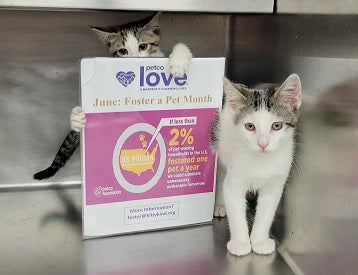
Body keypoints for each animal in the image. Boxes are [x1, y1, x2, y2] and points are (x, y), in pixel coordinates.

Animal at [211, 74, 304, 256]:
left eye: (277, 126)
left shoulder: (275, 184)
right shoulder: (235, 180)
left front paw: (259, 240)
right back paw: (220, 205)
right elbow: (235, 206)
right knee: (221, 177)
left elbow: (266, 212)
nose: (263, 144)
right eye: (250, 126)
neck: (261, 160)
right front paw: (240, 243)